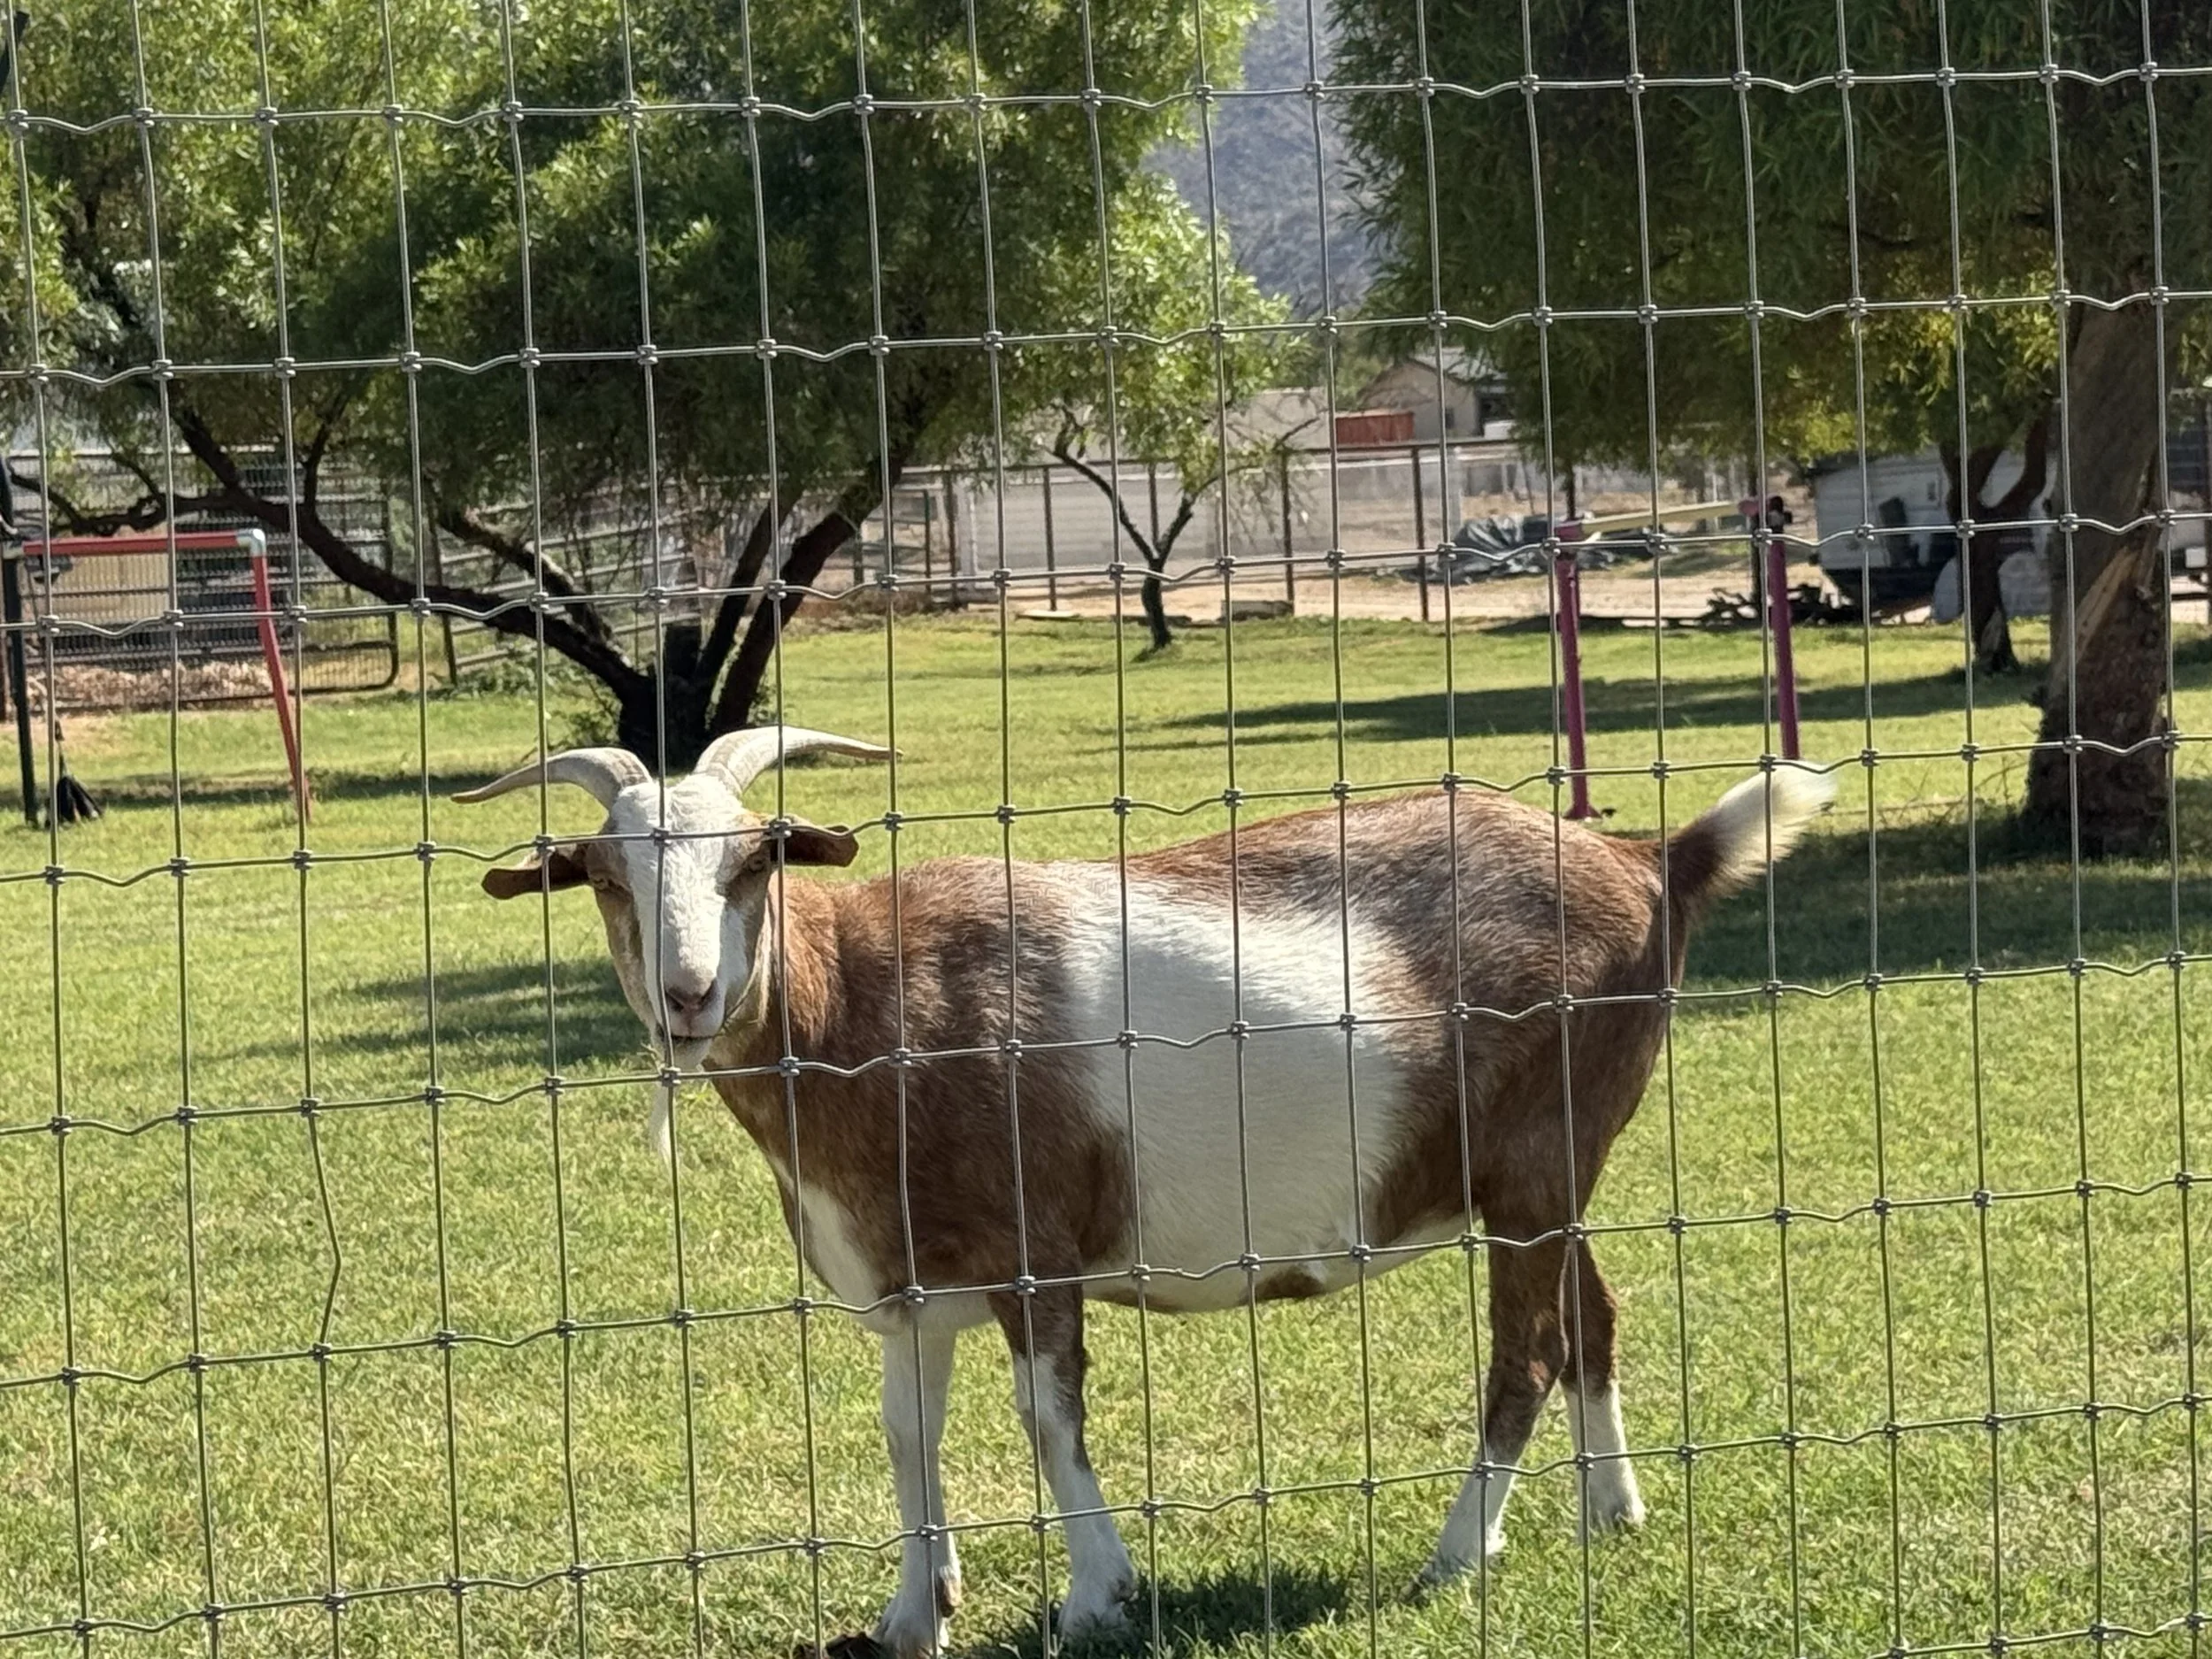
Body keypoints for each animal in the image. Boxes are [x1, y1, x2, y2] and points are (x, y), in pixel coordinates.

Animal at [459, 729, 1833, 1656]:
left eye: (753, 862)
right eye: (603, 874)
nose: (689, 995)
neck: (862, 1001)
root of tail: (1651, 862)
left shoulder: (1036, 1251)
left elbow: (1047, 1418)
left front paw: (1095, 1593)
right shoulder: (910, 1285)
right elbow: (908, 1434)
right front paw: (913, 1613)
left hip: (1542, 1159)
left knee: (1530, 1349)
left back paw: (1454, 1555)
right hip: (1543, 1176)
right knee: (1592, 1315)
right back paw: (1614, 1513)